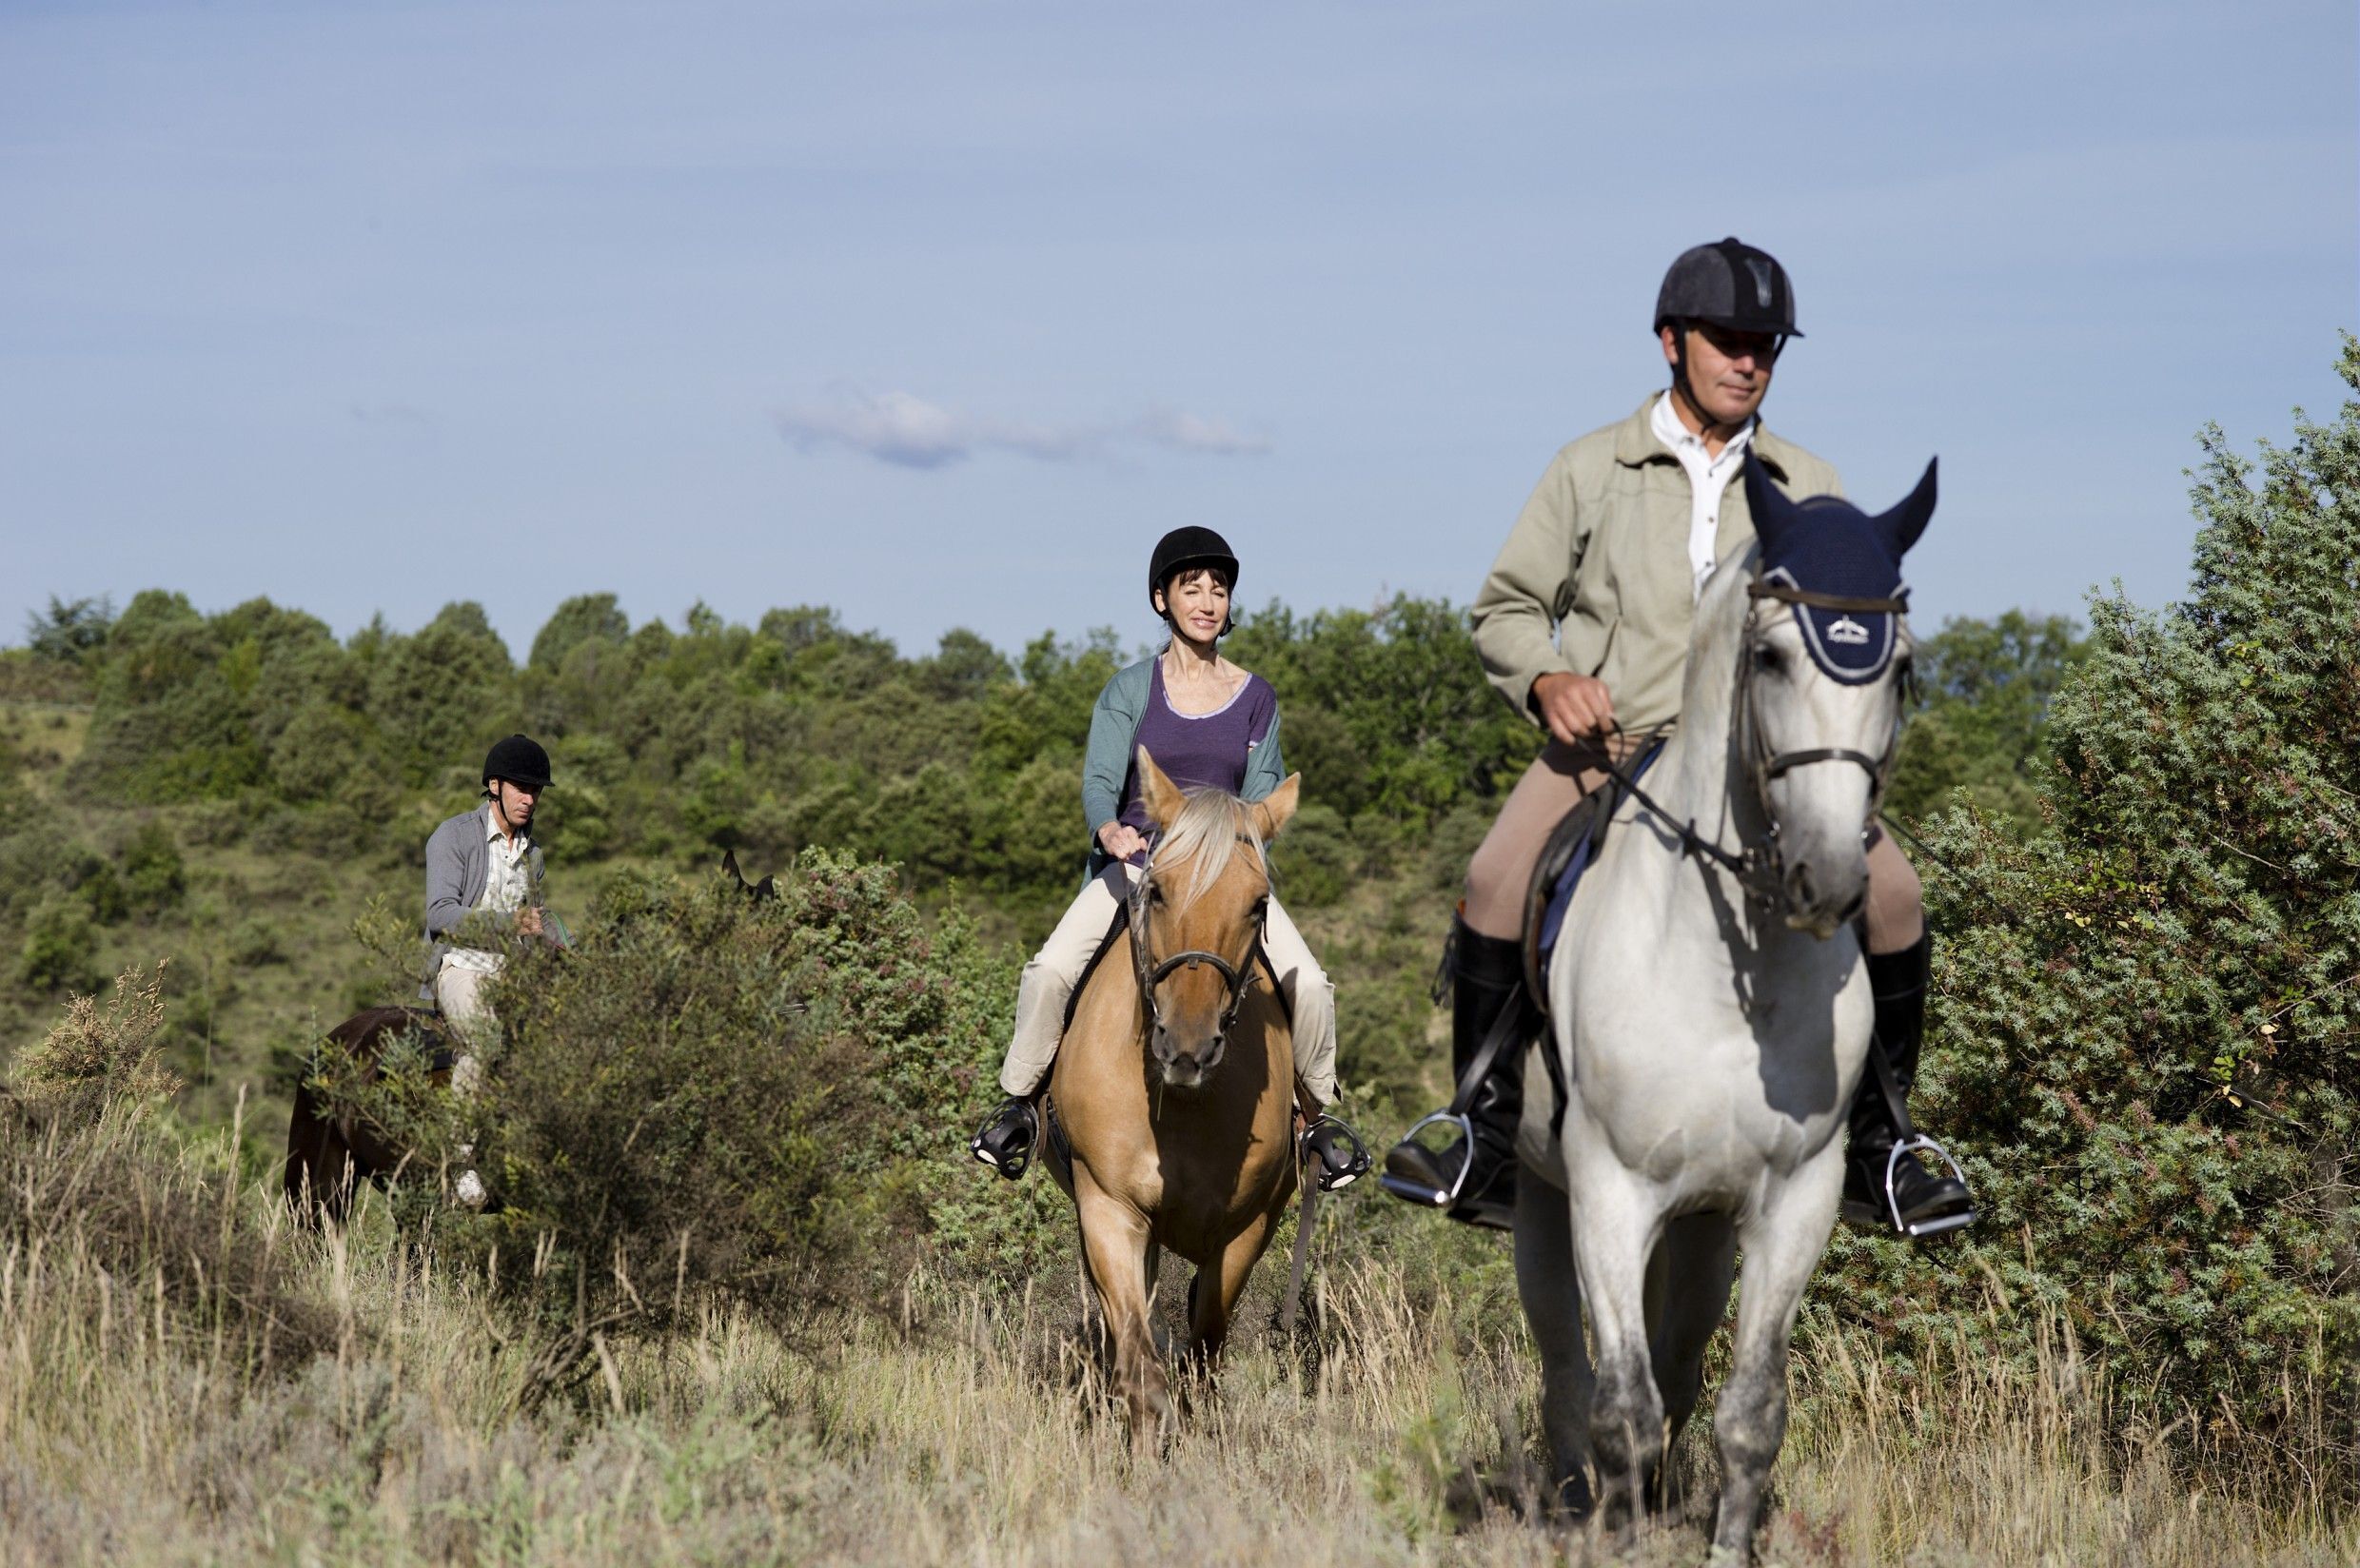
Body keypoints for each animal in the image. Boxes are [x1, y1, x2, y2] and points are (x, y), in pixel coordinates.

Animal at [1045, 748, 1302, 1452]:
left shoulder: (1245, 1231)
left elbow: (1204, 1345)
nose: (1187, 1047)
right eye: (1156, 890)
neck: (1185, 1108)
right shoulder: (1109, 1208)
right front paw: (1148, 1438)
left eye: (1259, 904)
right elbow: (1140, 1357)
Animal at [1514, 458, 1936, 1563]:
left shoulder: (1795, 1197)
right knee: (1567, 1373)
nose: (1827, 878)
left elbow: (1748, 1410)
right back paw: (1574, 1501)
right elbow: (1620, 1404)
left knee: (1680, 1359)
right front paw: (1618, 1534)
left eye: (1900, 671)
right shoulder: (1609, 1190)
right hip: (1539, 1198)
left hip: (1702, 1226)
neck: (1721, 969)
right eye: (1770, 655)